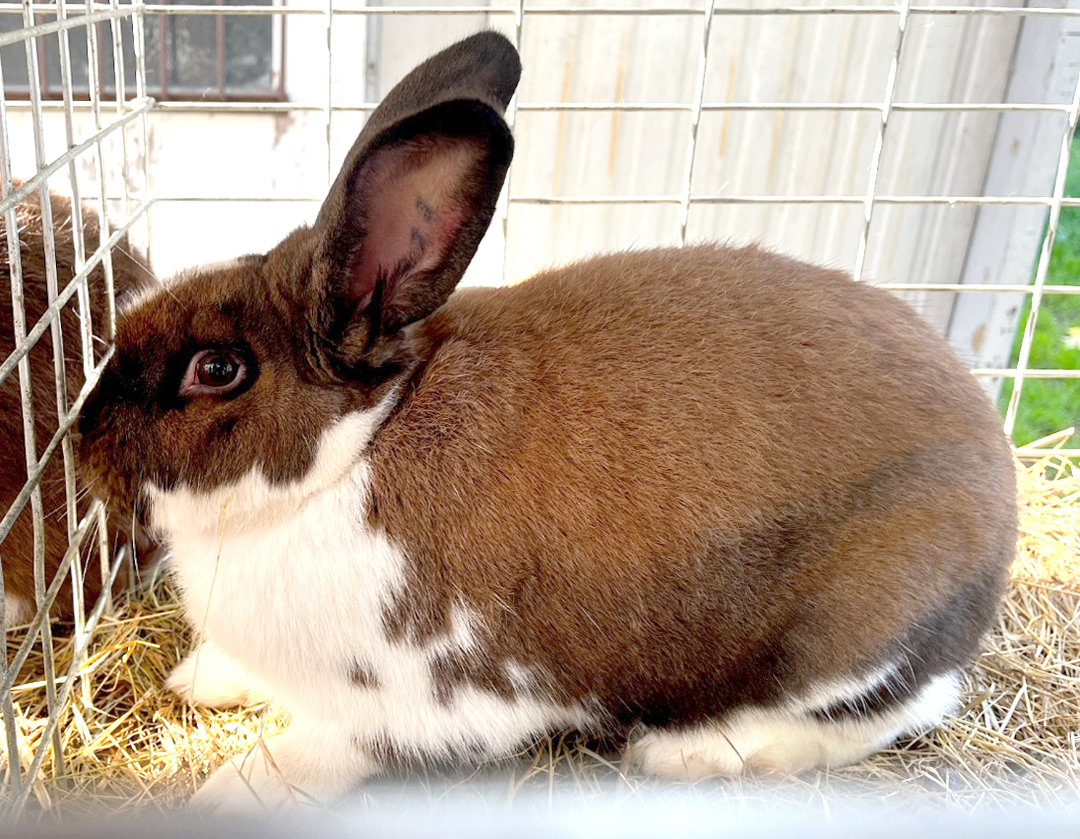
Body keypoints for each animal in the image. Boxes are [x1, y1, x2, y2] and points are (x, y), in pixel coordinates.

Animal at [78, 32, 1019, 812]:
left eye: (217, 369)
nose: (83, 434)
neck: (354, 449)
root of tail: (1001, 483)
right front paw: (203, 677)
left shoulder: (413, 701)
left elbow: (320, 750)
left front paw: (229, 792)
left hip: (849, 635)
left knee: (901, 706)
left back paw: (690, 751)